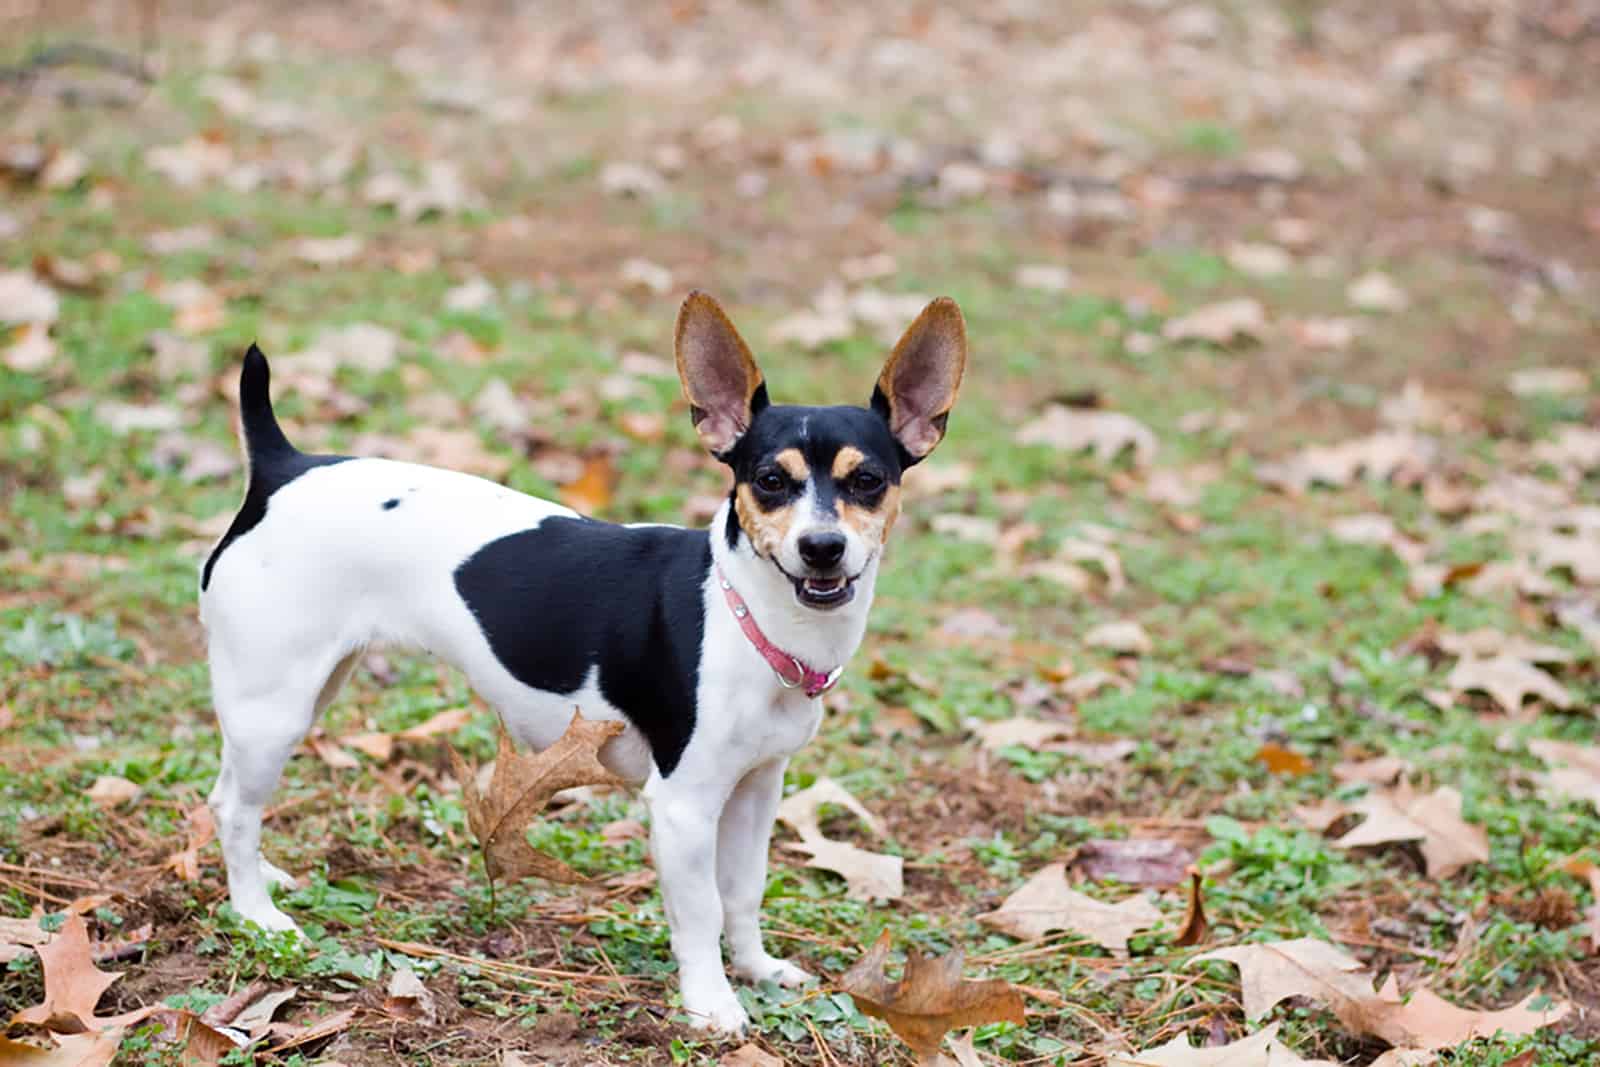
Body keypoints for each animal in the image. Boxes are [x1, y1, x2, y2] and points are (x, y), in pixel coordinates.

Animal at [206, 292, 966, 1036]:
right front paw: (711, 1003)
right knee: (237, 810)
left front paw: (756, 968)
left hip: (295, 695)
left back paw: (265, 880)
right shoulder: (684, 808)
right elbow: (701, 912)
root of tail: (284, 468)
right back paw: (258, 915)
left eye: (868, 481)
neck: (745, 613)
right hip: (274, 708)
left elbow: (743, 891)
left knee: (225, 796)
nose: (821, 547)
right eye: (770, 481)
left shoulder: (757, 788)